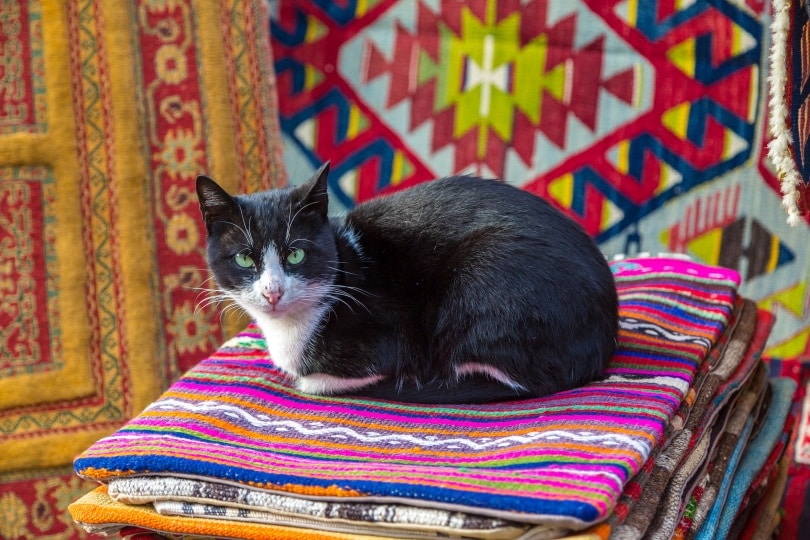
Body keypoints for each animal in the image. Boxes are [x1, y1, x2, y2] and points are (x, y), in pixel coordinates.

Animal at [197, 162, 620, 402]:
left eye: (295, 254)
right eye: (245, 258)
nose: (272, 291)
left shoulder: (386, 333)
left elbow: (329, 377)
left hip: (485, 273)